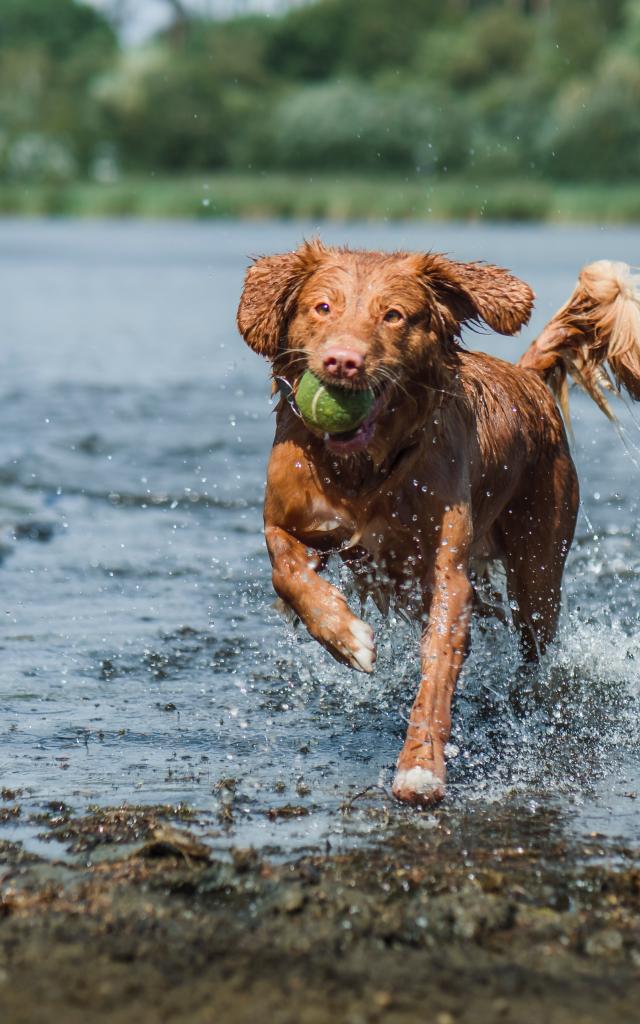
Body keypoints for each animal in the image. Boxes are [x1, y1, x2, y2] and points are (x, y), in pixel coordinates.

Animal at [235, 243, 638, 802]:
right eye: (322, 307)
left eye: (394, 315)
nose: (342, 361)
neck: (366, 471)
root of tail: (528, 378)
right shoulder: (285, 519)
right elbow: (286, 571)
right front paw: (346, 636)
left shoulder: (448, 574)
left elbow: (438, 670)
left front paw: (420, 766)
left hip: (539, 568)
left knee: (534, 643)